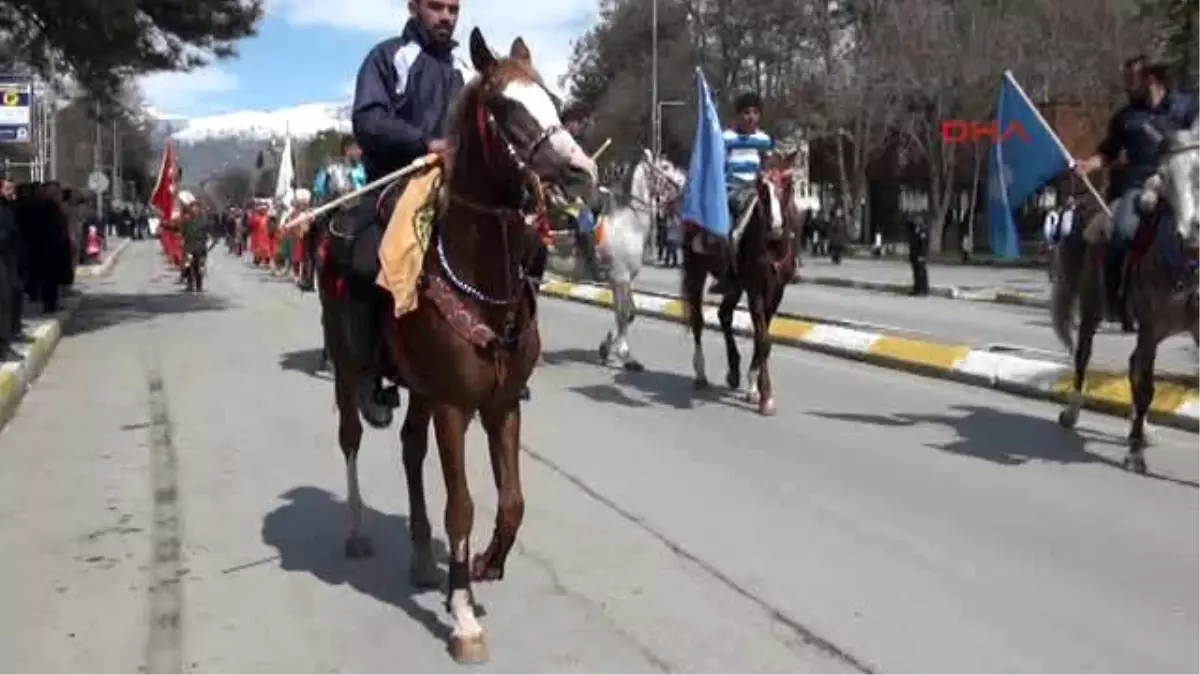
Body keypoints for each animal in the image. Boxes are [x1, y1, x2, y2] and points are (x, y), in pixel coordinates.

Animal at [319, 28, 600, 658]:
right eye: (506, 107)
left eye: (551, 98)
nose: (579, 171)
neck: (483, 284)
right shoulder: (454, 406)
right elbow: (463, 505)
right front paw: (464, 614)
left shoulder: (501, 405)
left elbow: (512, 501)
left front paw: (482, 566)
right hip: (348, 367)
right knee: (350, 438)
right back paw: (356, 531)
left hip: (420, 390)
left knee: (409, 449)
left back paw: (424, 558)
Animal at [549, 148, 681, 367]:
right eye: (665, 166)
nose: (684, 181)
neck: (629, 223)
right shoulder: (620, 278)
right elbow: (622, 314)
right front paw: (623, 353)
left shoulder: (621, 280)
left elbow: (629, 313)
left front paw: (606, 346)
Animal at [681, 70, 801, 413]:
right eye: (761, 186)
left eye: (788, 184)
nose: (775, 227)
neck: (771, 245)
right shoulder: (756, 288)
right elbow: (763, 338)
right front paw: (765, 395)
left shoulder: (776, 290)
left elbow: (765, 338)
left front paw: (752, 386)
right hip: (696, 273)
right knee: (698, 320)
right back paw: (701, 373)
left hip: (733, 284)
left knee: (723, 315)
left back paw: (733, 372)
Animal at [1046, 127, 1200, 473]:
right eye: (1163, 176)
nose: (1189, 237)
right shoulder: (1151, 326)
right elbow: (1146, 389)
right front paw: (1134, 454)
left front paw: (1138, 437)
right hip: (1093, 308)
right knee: (1084, 357)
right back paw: (1073, 413)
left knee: (1132, 365)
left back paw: (1143, 429)